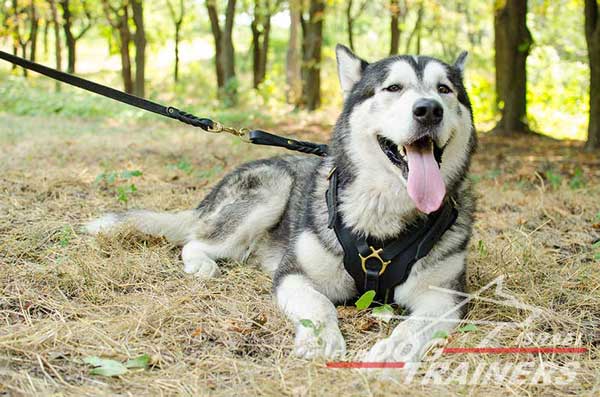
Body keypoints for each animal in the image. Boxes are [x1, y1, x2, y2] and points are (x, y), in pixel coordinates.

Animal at [85, 45, 478, 362]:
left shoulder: (445, 297)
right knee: (196, 242)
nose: (429, 110)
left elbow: (415, 324)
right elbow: (319, 304)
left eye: (444, 90)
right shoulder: (295, 274)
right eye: (394, 88)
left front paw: (395, 349)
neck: (382, 217)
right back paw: (202, 264)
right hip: (271, 189)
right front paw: (320, 340)